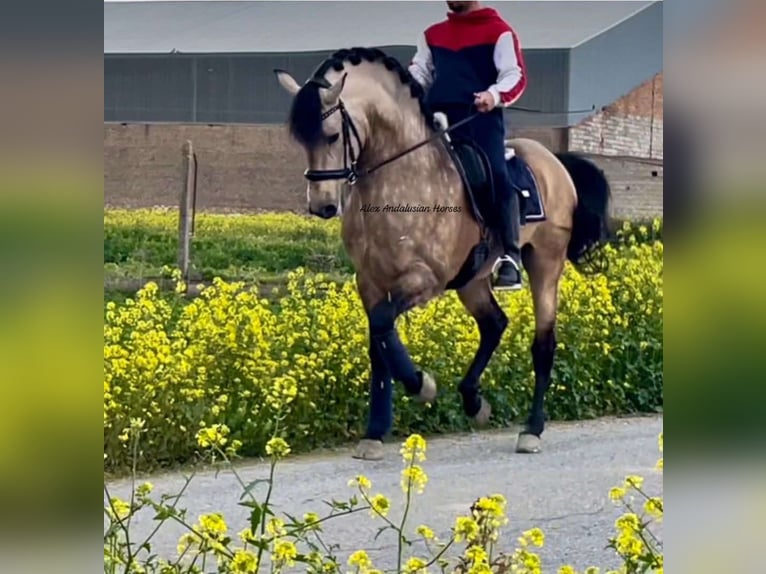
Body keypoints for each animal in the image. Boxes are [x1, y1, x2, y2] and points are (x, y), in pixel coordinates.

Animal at [276, 46, 612, 464]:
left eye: (333, 134)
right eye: (300, 138)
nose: (321, 206)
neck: (399, 178)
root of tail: (554, 162)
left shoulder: (424, 279)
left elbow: (384, 324)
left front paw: (421, 385)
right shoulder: (370, 280)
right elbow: (379, 342)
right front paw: (375, 433)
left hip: (544, 263)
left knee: (543, 343)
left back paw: (531, 430)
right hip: (472, 279)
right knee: (494, 324)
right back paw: (473, 401)